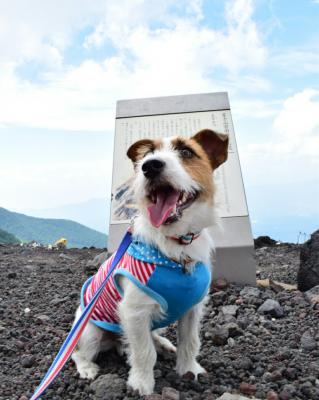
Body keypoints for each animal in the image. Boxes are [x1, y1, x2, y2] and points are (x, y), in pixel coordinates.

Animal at [71, 128, 229, 394]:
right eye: (148, 155)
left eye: (186, 152)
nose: (150, 166)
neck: (176, 244)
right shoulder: (134, 311)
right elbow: (144, 352)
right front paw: (141, 383)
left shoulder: (192, 309)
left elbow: (189, 341)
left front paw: (189, 370)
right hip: (90, 332)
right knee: (78, 353)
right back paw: (87, 368)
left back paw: (162, 343)